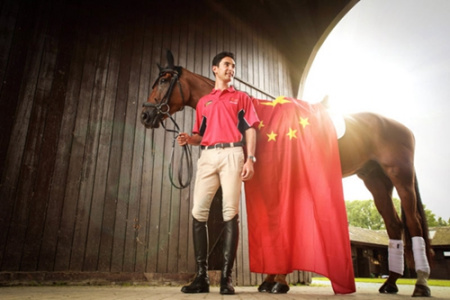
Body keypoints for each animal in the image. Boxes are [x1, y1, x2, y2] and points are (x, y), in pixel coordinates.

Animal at [141, 50, 432, 296]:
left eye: (165, 80)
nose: (145, 115)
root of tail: (402, 127)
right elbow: (270, 224)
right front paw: (270, 281)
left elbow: (280, 223)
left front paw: (278, 282)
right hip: (375, 181)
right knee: (394, 226)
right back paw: (391, 283)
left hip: (400, 177)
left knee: (413, 224)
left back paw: (420, 285)